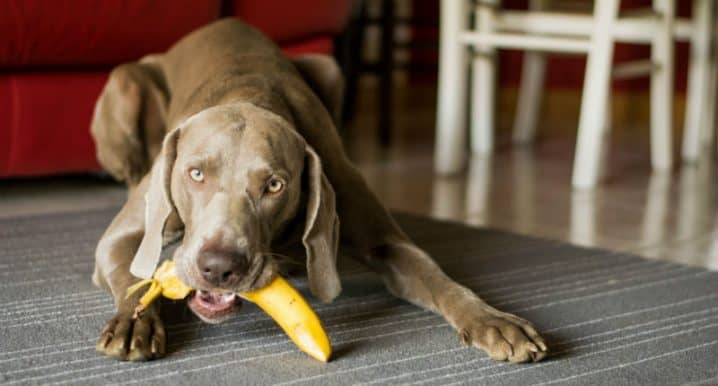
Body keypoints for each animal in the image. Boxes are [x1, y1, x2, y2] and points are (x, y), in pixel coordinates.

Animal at [91, 18, 552, 362]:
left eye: (274, 185)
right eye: (196, 174)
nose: (220, 267)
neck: (250, 95)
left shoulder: (380, 233)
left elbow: (438, 277)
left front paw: (492, 320)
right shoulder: (120, 238)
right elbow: (133, 276)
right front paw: (134, 321)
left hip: (329, 67)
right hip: (125, 83)